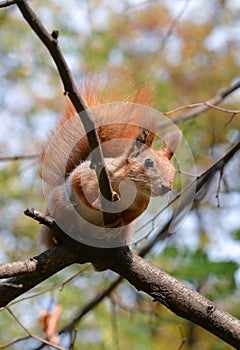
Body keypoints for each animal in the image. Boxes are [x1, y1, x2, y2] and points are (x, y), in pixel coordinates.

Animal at [39, 80, 182, 247]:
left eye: (173, 171)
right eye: (148, 162)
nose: (167, 187)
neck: (131, 186)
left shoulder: (142, 201)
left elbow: (133, 215)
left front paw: (120, 221)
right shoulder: (95, 174)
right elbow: (82, 184)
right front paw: (98, 202)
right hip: (59, 204)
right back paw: (58, 236)